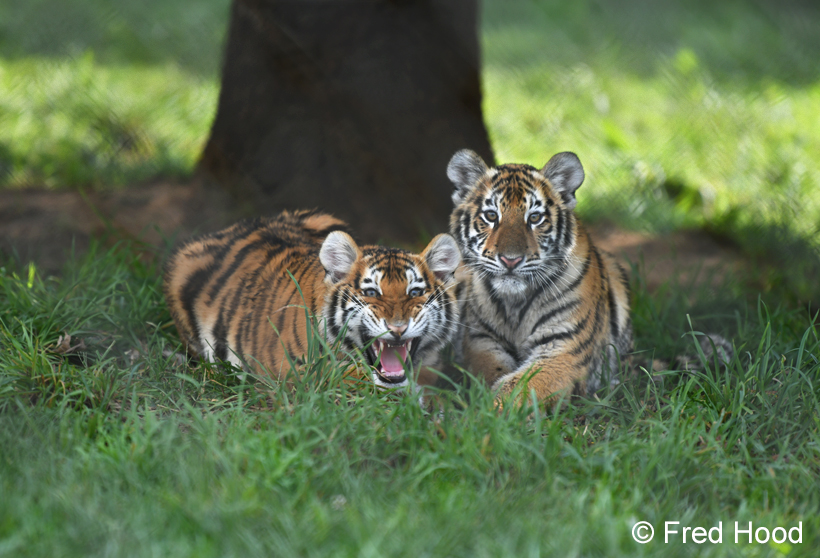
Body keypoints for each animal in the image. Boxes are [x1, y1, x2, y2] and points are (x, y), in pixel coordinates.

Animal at [446, 149, 633, 406]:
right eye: (491, 215)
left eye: (534, 218)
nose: (511, 260)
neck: (514, 304)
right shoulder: (481, 341)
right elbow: (491, 374)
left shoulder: (563, 348)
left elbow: (521, 386)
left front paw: (493, 410)